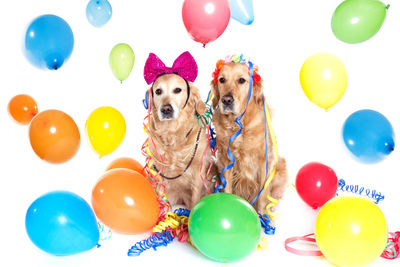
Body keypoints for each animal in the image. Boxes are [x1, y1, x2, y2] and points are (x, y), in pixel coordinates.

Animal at [148, 73, 216, 209]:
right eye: (158, 91)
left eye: (177, 90)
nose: (166, 109)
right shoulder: (158, 171)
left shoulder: (198, 174)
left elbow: (196, 199)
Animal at [211, 61, 290, 213]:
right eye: (222, 80)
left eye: (241, 80)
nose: (226, 100)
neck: (238, 124)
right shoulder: (225, 159)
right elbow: (227, 187)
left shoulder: (264, 161)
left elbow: (263, 195)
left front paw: (262, 216)